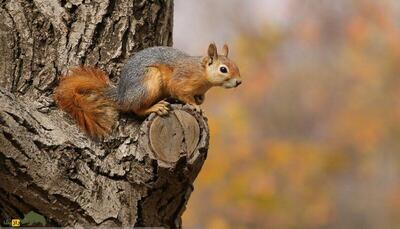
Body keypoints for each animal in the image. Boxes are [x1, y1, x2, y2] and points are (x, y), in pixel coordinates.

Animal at [53, 43, 241, 139]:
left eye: (236, 66)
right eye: (223, 69)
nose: (239, 81)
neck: (201, 72)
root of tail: (122, 96)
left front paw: (200, 99)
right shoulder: (180, 80)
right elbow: (181, 92)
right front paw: (195, 105)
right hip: (149, 83)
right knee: (136, 109)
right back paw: (155, 107)